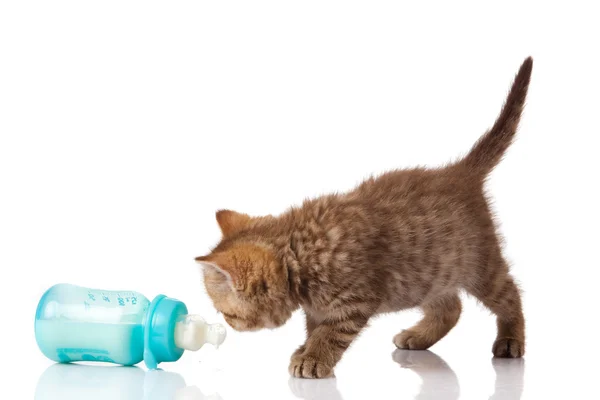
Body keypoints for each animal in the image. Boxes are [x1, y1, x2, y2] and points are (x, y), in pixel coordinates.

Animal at [195, 56, 532, 378]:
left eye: (228, 314)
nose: (231, 326)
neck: (299, 252)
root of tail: (458, 172)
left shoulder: (355, 300)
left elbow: (332, 332)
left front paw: (314, 357)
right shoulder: (318, 307)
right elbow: (314, 326)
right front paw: (305, 348)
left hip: (478, 264)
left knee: (509, 293)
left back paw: (510, 339)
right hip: (429, 274)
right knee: (451, 307)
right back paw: (419, 336)